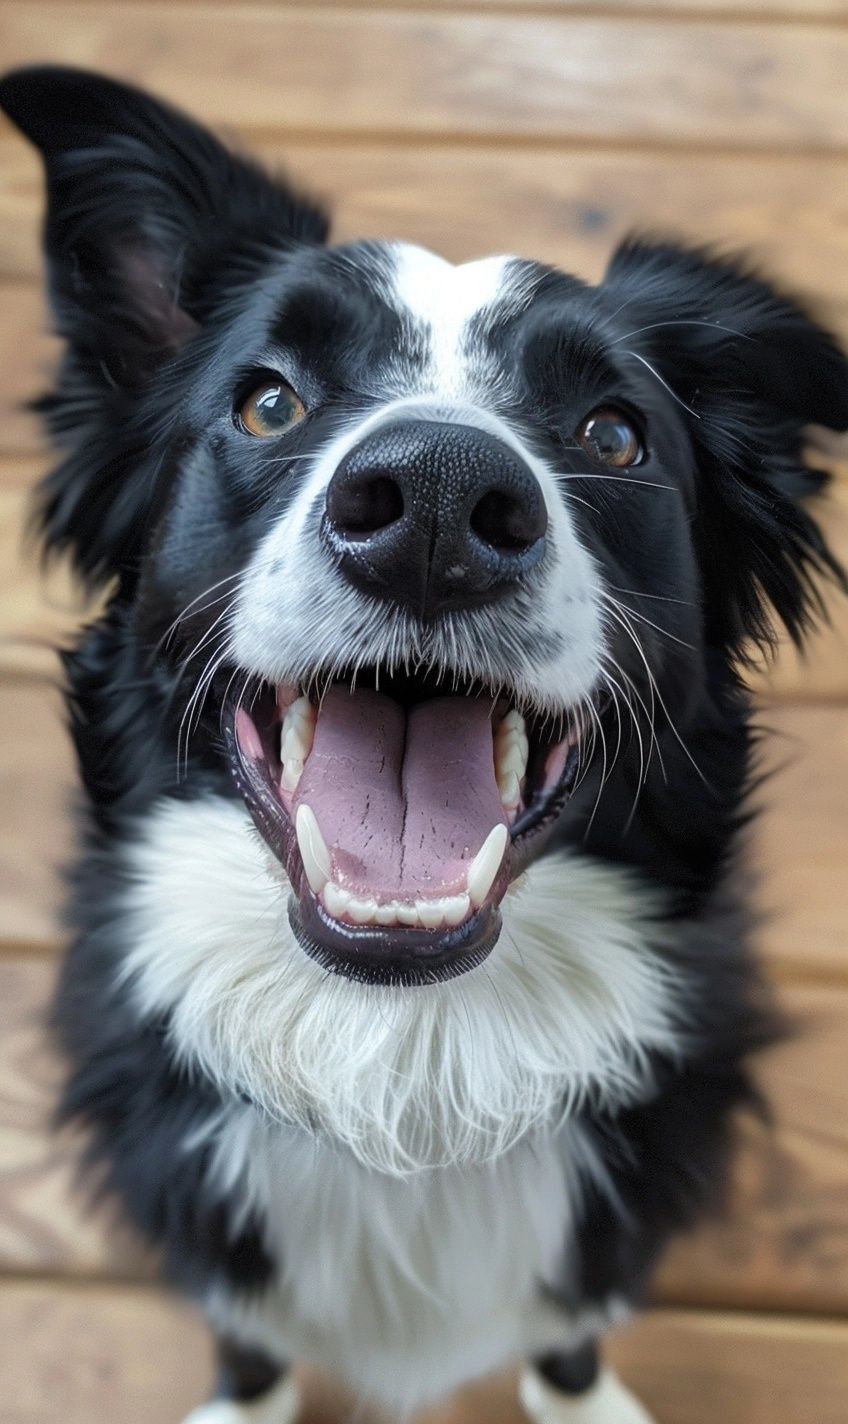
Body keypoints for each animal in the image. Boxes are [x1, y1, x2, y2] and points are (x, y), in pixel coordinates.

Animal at [3, 64, 842, 1424]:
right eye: (267, 400)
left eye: (613, 435)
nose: (438, 502)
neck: (402, 1057)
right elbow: (249, 1332)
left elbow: (569, 1327)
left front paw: (581, 1396)